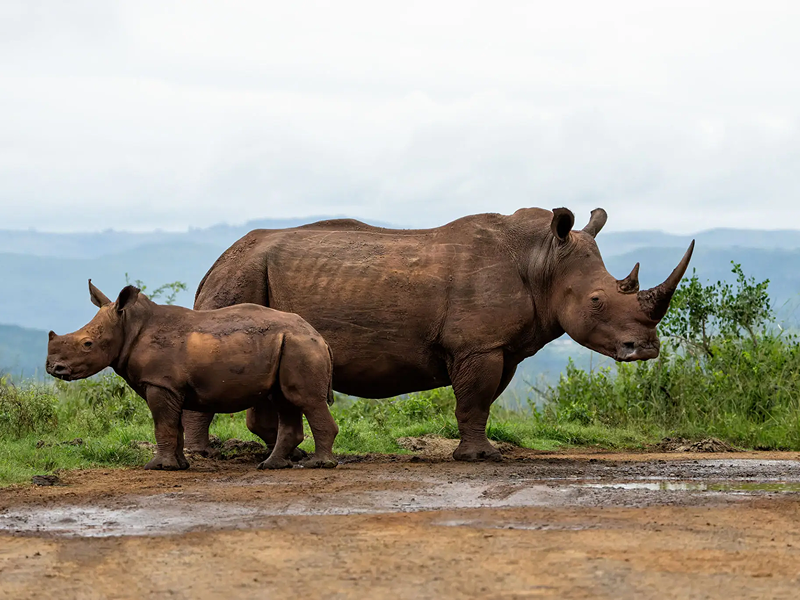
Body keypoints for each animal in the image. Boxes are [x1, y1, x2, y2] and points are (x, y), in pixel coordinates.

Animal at [46, 281, 339, 470]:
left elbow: (162, 424)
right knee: (285, 400)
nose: (53, 368)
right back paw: (271, 466)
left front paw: (157, 467)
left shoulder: (160, 384)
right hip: (290, 344)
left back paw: (319, 464)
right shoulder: (170, 387)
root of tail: (321, 338)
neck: (129, 326)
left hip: (301, 345)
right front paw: (180, 465)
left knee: (305, 400)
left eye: (87, 344)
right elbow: (173, 426)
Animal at [182, 207, 694, 461]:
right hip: (240, 277)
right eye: (597, 301)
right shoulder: (478, 345)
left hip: (247, 276)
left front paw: (479, 452)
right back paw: (207, 456)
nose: (646, 349)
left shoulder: (502, 348)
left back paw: (286, 451)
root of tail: (216, 262)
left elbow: (482, 402)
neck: (544, 259)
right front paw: (479, 459)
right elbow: (474, 399)